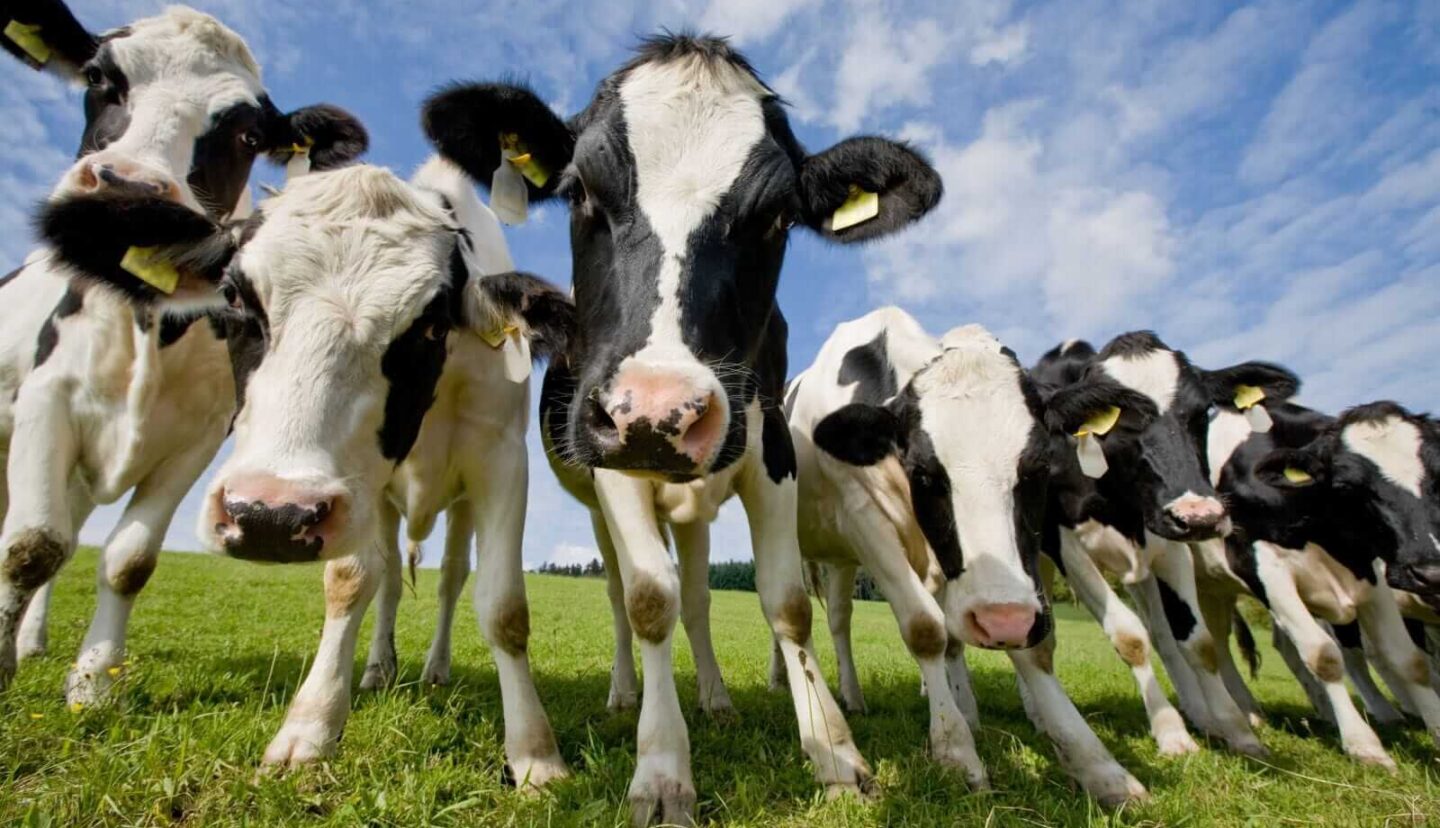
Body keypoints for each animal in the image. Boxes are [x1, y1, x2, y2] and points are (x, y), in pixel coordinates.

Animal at [0, 2, 365, 705]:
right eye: (99, 78)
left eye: (247, 136)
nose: (127, 189)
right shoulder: (46, 398)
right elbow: (30, 544)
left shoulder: (198, 439)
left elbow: (128, 559)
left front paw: (94, 684)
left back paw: (32, 645)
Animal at [36, 156, 576, 778]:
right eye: (234, 297)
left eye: (431, 323)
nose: (267, 516)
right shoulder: (361, 489)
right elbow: (352, 581)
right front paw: (311, 725)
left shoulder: (501, 460)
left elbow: (504, 607)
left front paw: (535, 753)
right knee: (390, 578)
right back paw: (377, 669)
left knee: (450, 580)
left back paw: (435, 668)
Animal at [422, 34, 943, 825]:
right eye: (580, 191)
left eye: (777, 217)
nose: (659, 411)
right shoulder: (611, 458)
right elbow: (647, 601)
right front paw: (663, 770)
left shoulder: (772, 452)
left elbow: (785, 604)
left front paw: (833, 751)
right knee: (623, 596)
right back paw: (624, 694)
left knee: (698, 596)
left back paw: (717, 699)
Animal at [786, 308, 1148, 806]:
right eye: (924, 472)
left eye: (1038, 467)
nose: (1001, 620)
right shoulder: (862, 515)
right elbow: (925, 630)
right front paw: (957, 753)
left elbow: (1031, 650)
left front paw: (1099, 767)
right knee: (829, 619)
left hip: (847, 560)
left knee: (842, 616)